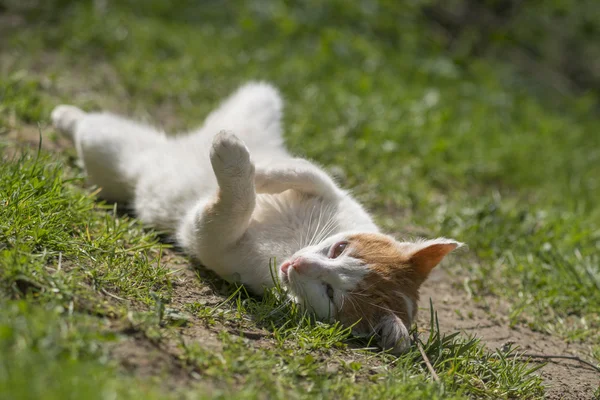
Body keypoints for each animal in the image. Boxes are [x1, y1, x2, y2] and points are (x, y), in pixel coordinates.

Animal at [52, 81, 464, 354]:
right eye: (339, 249)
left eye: (330, 293)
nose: (298, 265)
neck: (294, 243)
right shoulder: (333, 193)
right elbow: (304, 170)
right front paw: (255, 169)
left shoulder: (212, 240)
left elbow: (233, 207)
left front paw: (239, 175)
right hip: (258, 101)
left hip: (110, 153)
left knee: (94, 130)